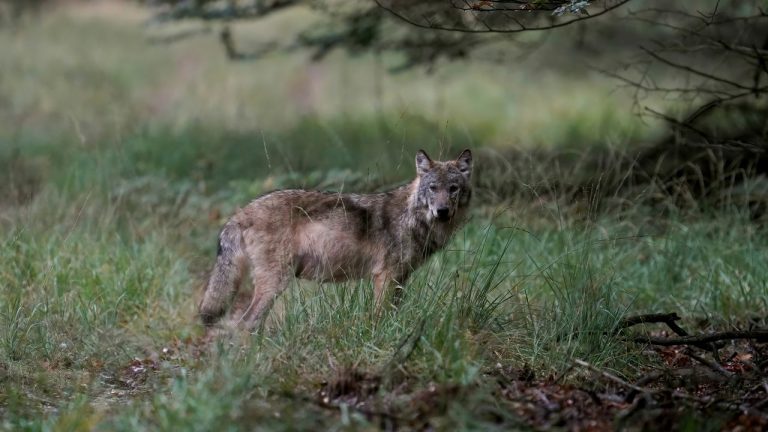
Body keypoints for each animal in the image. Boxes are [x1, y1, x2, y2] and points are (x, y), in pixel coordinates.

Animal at [196, 149, 474, 330]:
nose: (442, 211)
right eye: (433, 188)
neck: (412, 218)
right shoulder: (385, 276)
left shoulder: (400, 279)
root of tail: (241, 212)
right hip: (275, 283)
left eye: (453, 189)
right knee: (245, 324)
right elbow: (379, 317)